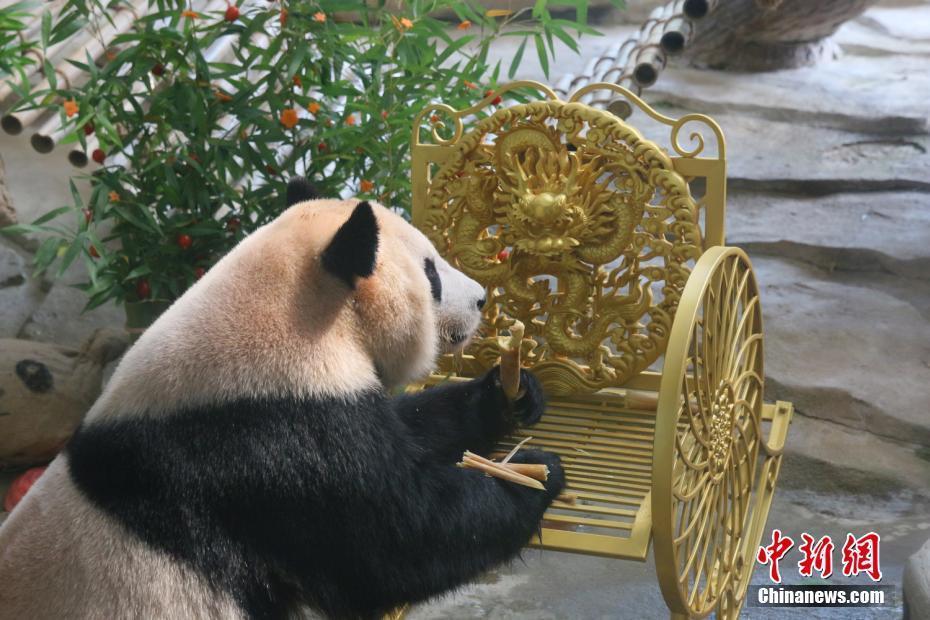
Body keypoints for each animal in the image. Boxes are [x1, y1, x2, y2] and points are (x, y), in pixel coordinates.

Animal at [0, 179, 564, 620]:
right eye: (430, 272)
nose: (481, 300)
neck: (291, 313)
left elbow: (412, 431)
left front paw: (508, 396)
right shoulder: (265, 443)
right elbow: (394, 542)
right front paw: (537, 472)